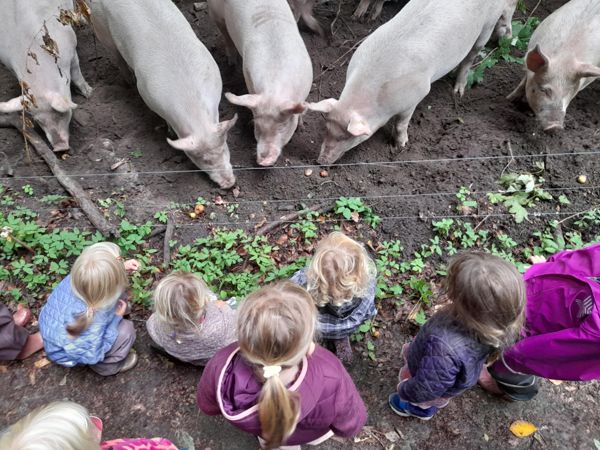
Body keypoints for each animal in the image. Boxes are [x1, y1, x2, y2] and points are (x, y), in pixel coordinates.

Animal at [0, 0, 92, 151]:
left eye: (61, 114)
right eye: (38, 121)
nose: (59, 148)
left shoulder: (70, 45)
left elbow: (76, 72)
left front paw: (89, 93)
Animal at [88, 0, 237, 189]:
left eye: (224, 147)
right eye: (201, 159)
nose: (229, 183)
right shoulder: (147, 94)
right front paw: (170, 132)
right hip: (101, 28)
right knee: (116, 58)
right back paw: (128, 81)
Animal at [208, 0, 313, 166]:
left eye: (282, 127)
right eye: (257, 125)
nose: (263, 161)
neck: (276, 89)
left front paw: (301, 127)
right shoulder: (248, 75)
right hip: (215, 12)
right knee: (225, 35)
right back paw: (231, 62)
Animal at [306, 0, 517, 165]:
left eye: (347, 137)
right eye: (326, 129)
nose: (320, 162)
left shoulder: (416, 95)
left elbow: (401, 124)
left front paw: (400, 146)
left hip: (488, 25)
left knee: (472, 55)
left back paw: (458, 92)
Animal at [507, 0, 600, 132]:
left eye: (568, 93)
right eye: (544, 90)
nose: (555, 126)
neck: (565, 57)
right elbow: (523, 83)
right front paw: (509, 99)